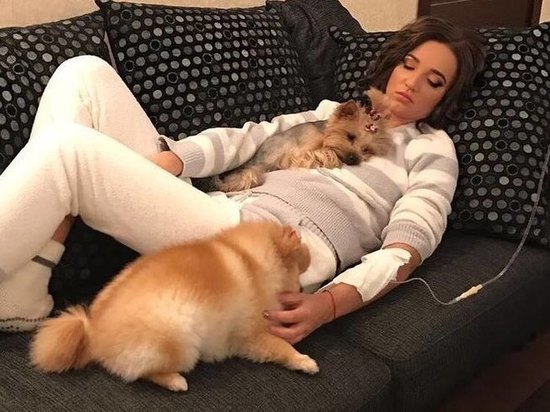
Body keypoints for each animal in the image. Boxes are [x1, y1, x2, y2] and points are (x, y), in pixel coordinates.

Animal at [30, 221, 316, 392]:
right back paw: (175, 381)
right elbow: (281, 346)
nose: (303, 290)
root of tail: (92, 332)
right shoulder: (252, 334)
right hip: (181, 338)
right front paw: (303, 361)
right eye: (299, 272)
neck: (250, 260)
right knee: (142, 373)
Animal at [193, 88, 393, 193]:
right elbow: (321, 153)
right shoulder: (301, 150)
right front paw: (330, 157)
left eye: (365, 149)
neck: (324, 134)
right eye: (350, 136)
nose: (354, 159)